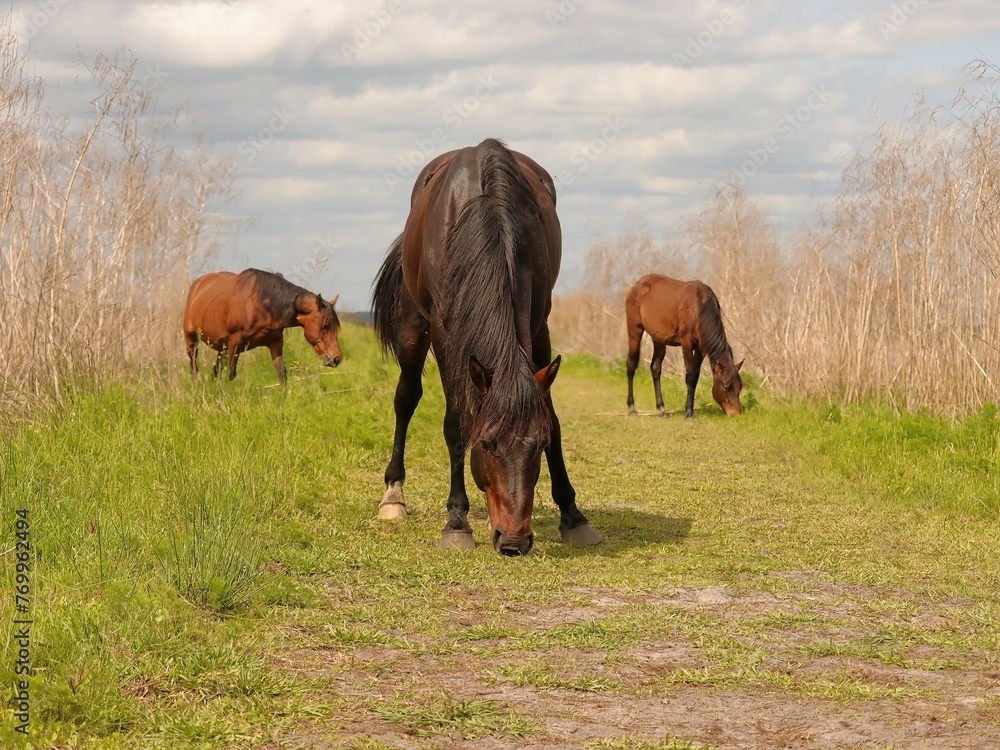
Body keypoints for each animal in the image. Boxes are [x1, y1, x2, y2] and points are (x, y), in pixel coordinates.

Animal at [185, 268, 344, 384]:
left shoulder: (275, 343)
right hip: (191, 338)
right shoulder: (235, 344)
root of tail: (197, 284)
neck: (264, 304)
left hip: (222, 347)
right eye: (325, 325)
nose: (336, 359)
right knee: (193, 365)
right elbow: (231, 374)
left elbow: (282, 375)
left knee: (215, 371)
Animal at [370, 138, 596, 556]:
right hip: (413, 329)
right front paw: (457, 522)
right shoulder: (445, 333)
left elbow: (553, 417)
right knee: (406, 397)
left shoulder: (539, 326)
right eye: (487, 444)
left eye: (539, 446)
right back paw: (393, 496)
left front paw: (573, 516)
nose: (515, 541)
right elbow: (456, 423)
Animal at [624, 274, 744, 418]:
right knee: (631, 364)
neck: (699, 307)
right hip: (635, 328)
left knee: (655, 368)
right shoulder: (686, 343)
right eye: (725, 386)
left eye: (740, 387)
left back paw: (662, 409)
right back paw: (632, 408)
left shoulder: (701, 347)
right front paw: (689, 412)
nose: (736, 413)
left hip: (658, 339)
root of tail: (637, 284)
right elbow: (690, 375)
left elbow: (695, 375)